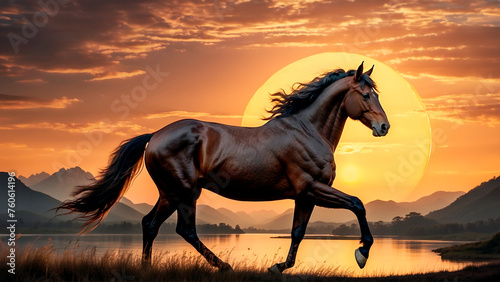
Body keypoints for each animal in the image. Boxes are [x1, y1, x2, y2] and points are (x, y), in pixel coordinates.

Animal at [58, 61, 390, 274]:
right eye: (365, 95)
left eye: (376, 93)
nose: (384, 127)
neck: (307, 130)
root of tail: (155, 136)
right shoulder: (312, 187)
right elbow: (357, 204)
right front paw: (362, 253)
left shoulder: (304, 196)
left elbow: (297, 233)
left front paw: (278, 267)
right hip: (183, 193)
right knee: (181, 229)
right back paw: (223, 266)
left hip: (170, 193)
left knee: (151, 224)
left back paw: (148, 268)